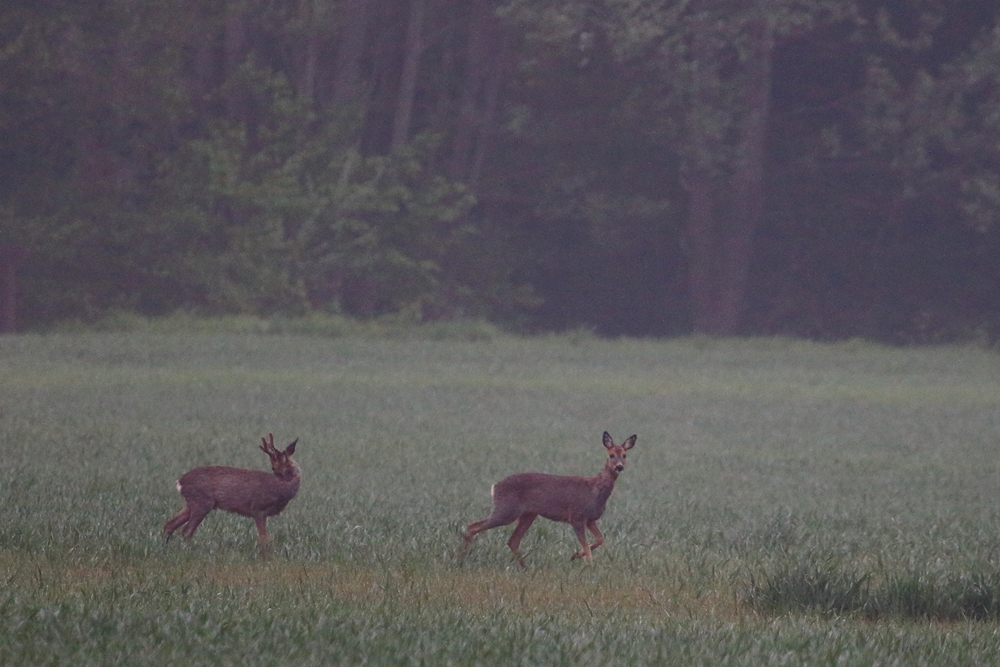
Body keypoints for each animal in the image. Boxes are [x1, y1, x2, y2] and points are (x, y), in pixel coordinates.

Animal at [161, 434, 296, 560]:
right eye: (273, 468)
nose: (280, 476)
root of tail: (180, 482)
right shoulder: (258, 509)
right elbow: (264, 539)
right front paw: (266, 558)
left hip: (190, 504)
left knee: (169, 525)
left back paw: (166, 549)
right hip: (202, 503)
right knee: (186, 531)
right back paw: (186, 553)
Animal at [460, 430, 632, 568]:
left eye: (624, 455)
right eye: (611, 455)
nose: (619, 467)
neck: (595, 490)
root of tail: (494, 486)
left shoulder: (590, 519)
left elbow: (600, 539)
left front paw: (575, 556)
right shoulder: (576, 515)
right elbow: (587, 545)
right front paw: (590, 565)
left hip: (528, 514)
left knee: (512, 540)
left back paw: (525, 566)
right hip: (506, 510)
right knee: (472, 527)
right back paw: (462, 558)